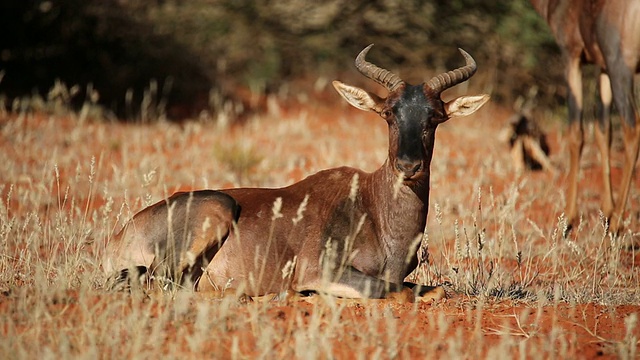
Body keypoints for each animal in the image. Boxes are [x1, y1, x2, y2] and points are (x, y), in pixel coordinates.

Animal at [102, 44, 488, 298]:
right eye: (388, 112)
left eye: (434, 116)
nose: (409, 166)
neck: (373, 205)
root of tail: (123, 232)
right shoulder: (319, 270)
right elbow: (393, 291)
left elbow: (435, 290)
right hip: (216, 211)